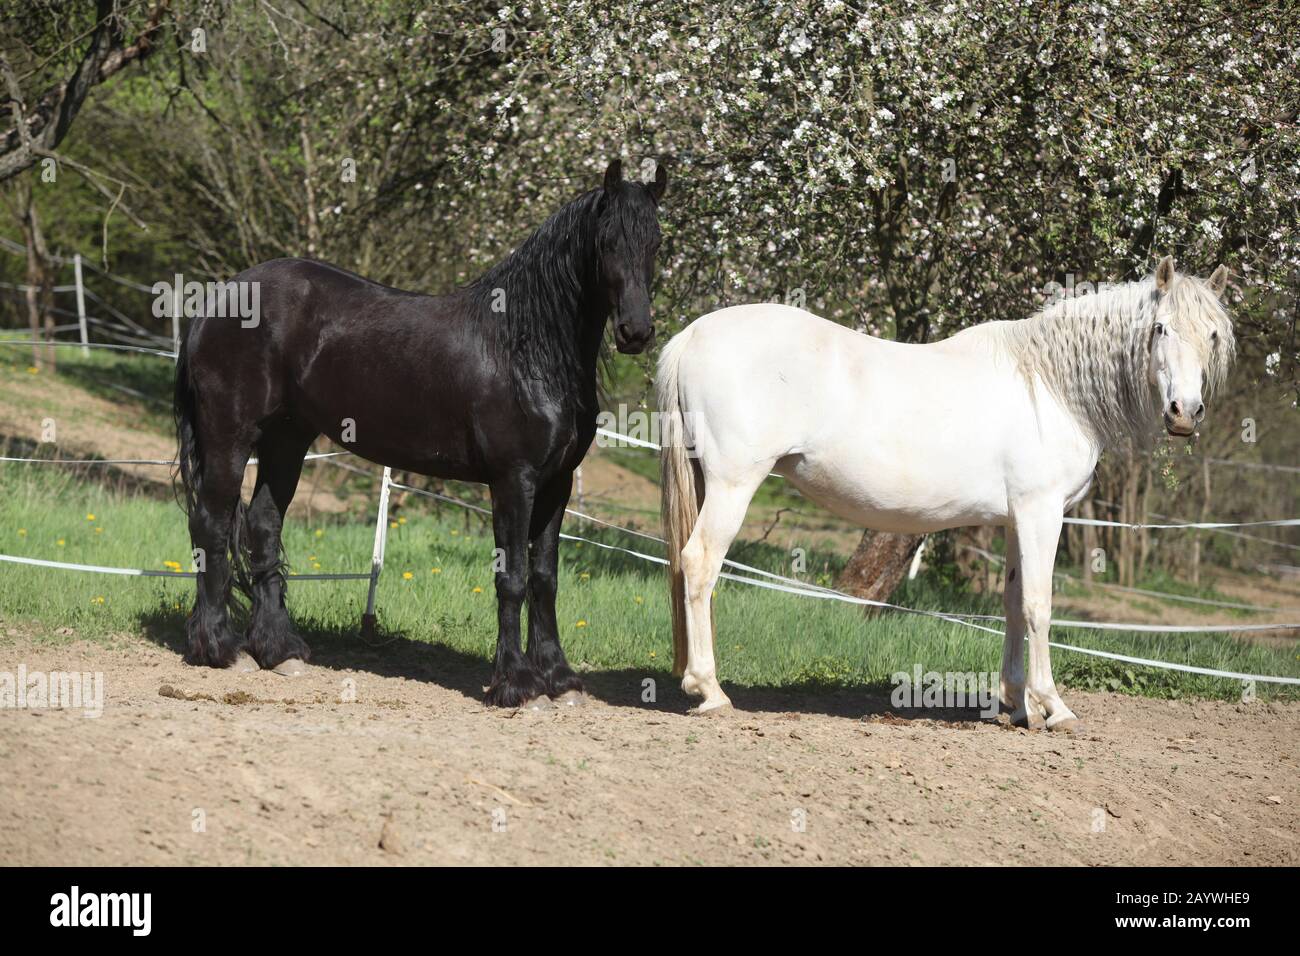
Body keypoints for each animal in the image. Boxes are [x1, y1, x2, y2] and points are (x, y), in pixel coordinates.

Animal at [174, 159, 667, 708]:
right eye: (606, 241)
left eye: (656, 241)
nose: (635, 332)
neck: (525, 350)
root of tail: (217, 298)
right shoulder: (513, 480)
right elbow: (513, 577)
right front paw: (517, 684)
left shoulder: (556, 483)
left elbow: (545, 577)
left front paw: (560, 680)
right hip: (230, 435)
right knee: (212, 524)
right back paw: (221, 648)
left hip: (287, 440)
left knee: (261, 526)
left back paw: (280, 652)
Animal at [658, 257, 1233, 731]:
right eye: (1160, 328)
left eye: (1211, 335)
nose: (1184, 413)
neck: (1048, 385)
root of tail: (692, 335)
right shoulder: (1041, 513)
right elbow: (1039, 605)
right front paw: (1053, 706)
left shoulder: (1014, 521)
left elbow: (1012, 603)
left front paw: (1017, 704)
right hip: (734, 484)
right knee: (700, 563)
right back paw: (709, 690)